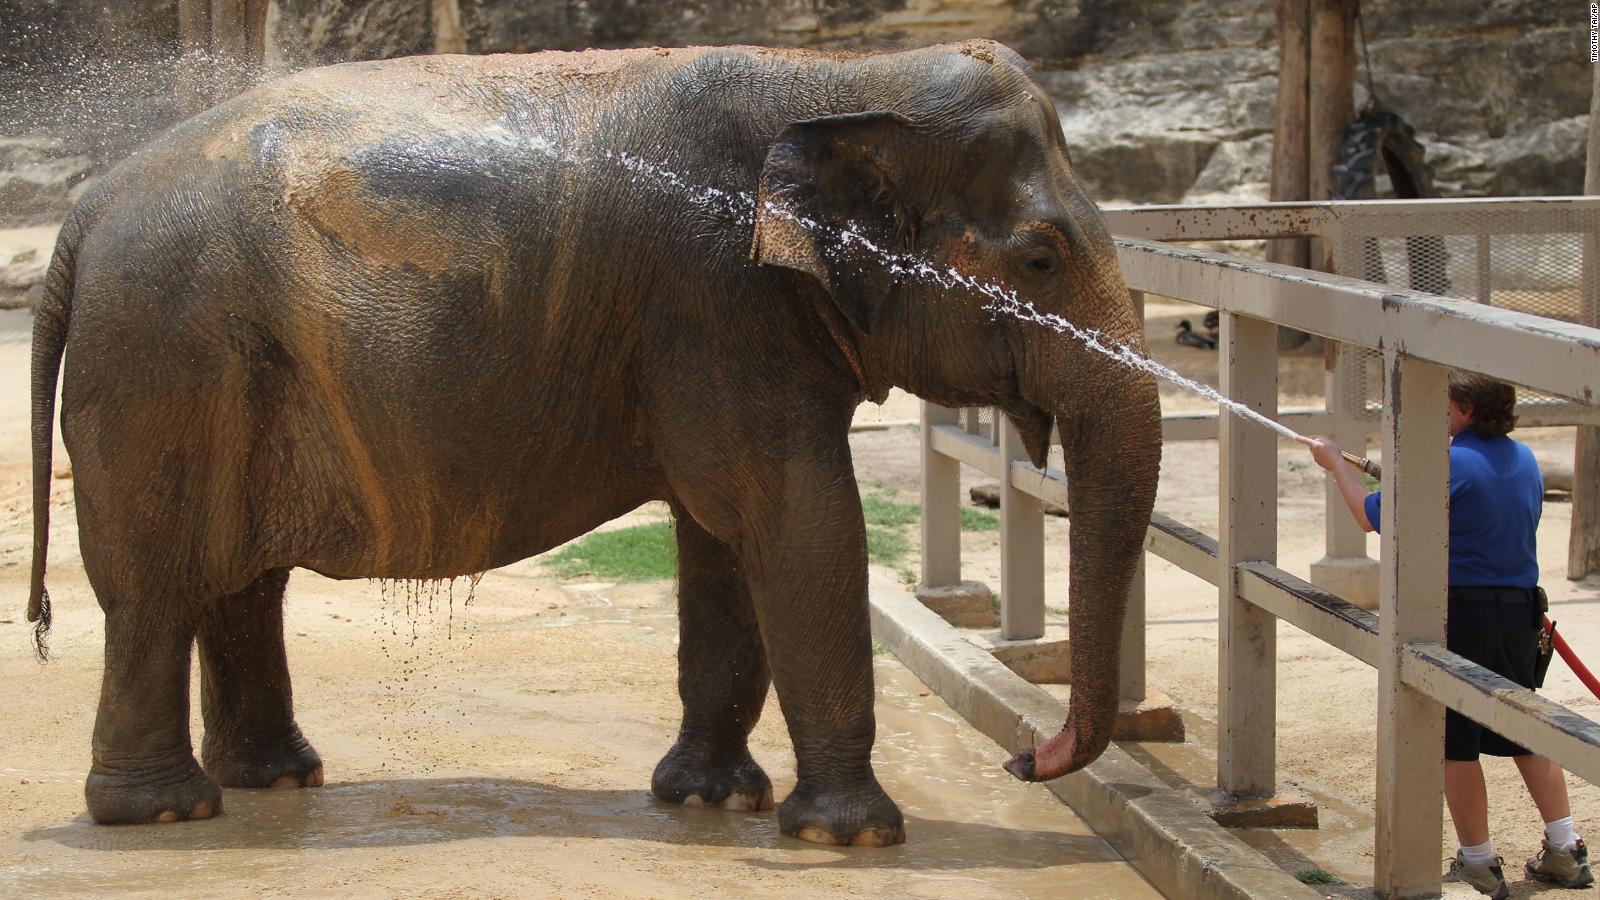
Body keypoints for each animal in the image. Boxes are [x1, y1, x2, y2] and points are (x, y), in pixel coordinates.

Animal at [25, 38, 1158, 845]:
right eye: (1041, 260)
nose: (1027, 762)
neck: (836, 79)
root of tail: (86, 209)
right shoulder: (714, 304)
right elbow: (798, 521)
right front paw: (852, 838)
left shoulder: (724, 331)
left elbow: (725, 539)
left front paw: (710, 803)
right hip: (165, 364)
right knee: (155, 591)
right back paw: (166, 813)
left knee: (239, 583)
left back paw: (276, 780)